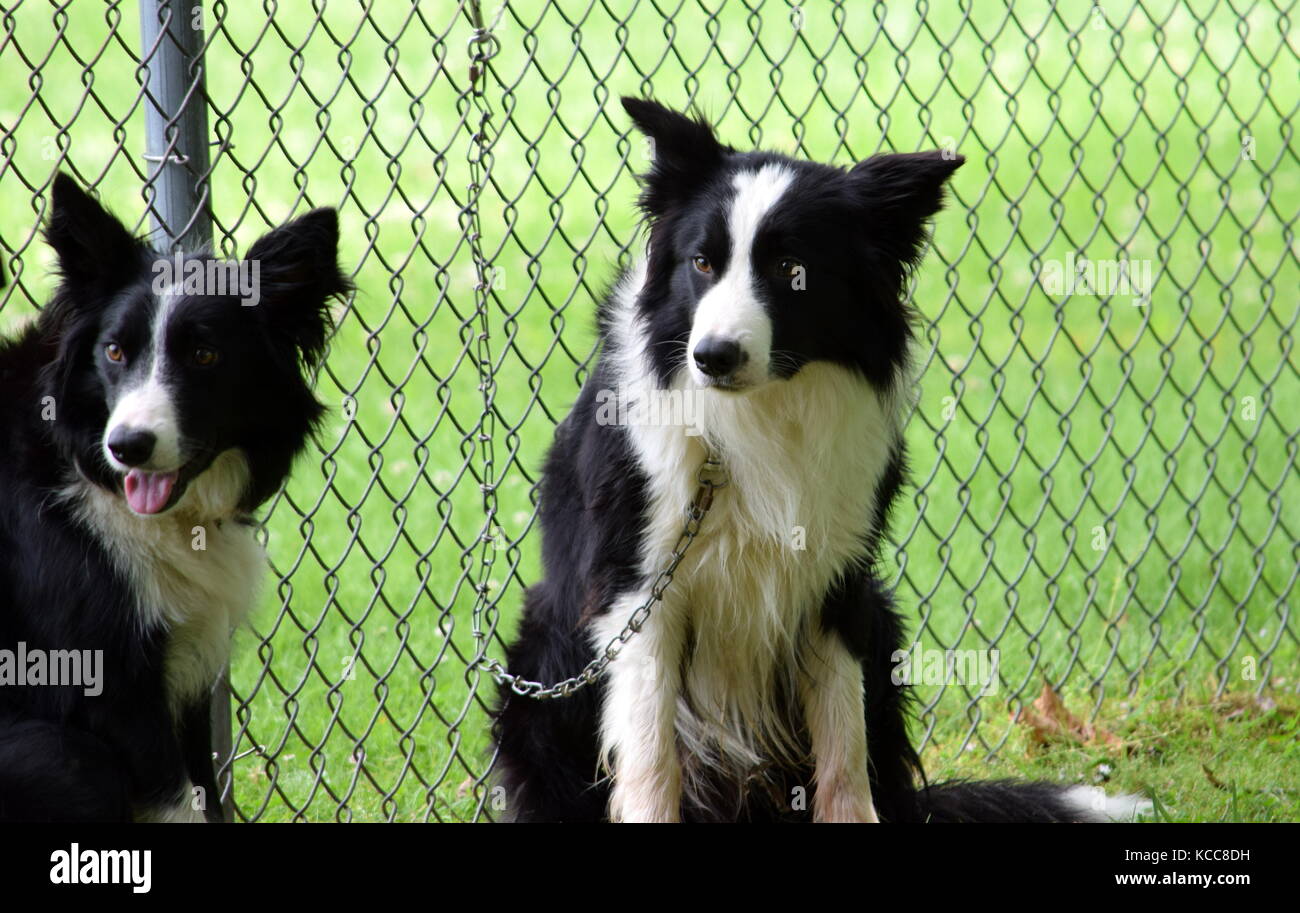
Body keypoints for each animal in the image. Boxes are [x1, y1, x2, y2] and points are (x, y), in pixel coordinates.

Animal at [0, 175, 348, 827]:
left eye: (205, 356)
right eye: (114, 352)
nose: (128, 446)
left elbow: (204, 791)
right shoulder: (106, 674)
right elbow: (177, 800)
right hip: (60, 755)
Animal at [491, 98, 1144, 821]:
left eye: (789, 269)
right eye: (702, 263)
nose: (712, 357)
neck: (765, 411)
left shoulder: (836, 584)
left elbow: (844, 750)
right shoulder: (637, 595)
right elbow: (653, 764)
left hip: (881, 620)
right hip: (542, 667)